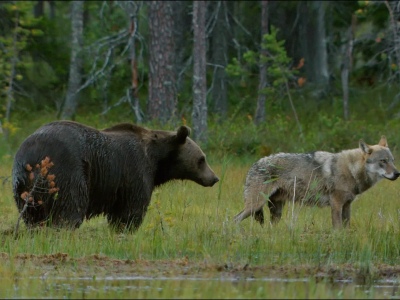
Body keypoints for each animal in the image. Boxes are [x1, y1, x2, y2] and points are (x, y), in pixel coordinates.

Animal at [12, 120, 219, 231]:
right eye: (202, 159)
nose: (214, 178)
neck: (156, 160)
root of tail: (32, 156)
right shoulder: (135, 170)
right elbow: (130, 209)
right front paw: (126, 228)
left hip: (23, 184)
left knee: (32, 214)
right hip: (67, 170)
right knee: (71, 205)